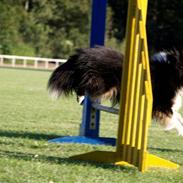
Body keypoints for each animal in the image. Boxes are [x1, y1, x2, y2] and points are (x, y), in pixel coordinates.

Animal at [47, 47, 183, 136]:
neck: (173, 72)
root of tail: (81, 55)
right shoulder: (161, 105)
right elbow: (174, 119)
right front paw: (178, 130)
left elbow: (178, 116)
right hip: (102, 84)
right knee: (81, 85)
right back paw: (81, 98)